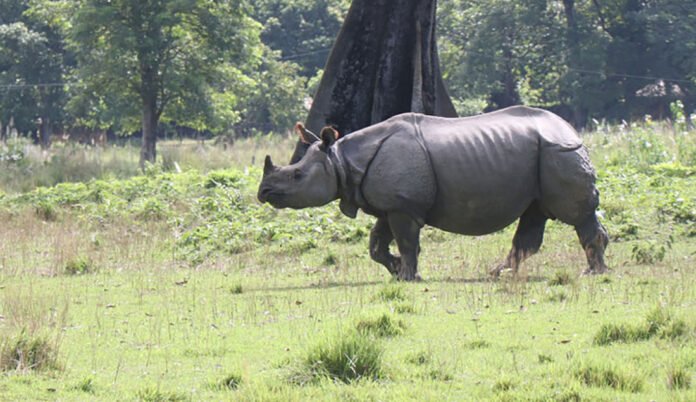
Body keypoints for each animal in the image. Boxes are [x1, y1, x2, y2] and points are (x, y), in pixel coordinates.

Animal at [258, 106, 609, 281]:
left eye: (297, 175)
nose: (263, 192)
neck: (341, 160)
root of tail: (571, 128)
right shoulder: (391, 205)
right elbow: (376, 244)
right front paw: (396, 270)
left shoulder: (404, 207)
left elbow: (407, 242)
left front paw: (408, 275)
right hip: (541, 158)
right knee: (533, 215)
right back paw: (499, 273)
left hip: (558, 152)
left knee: (577, 215)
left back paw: (591, 273)